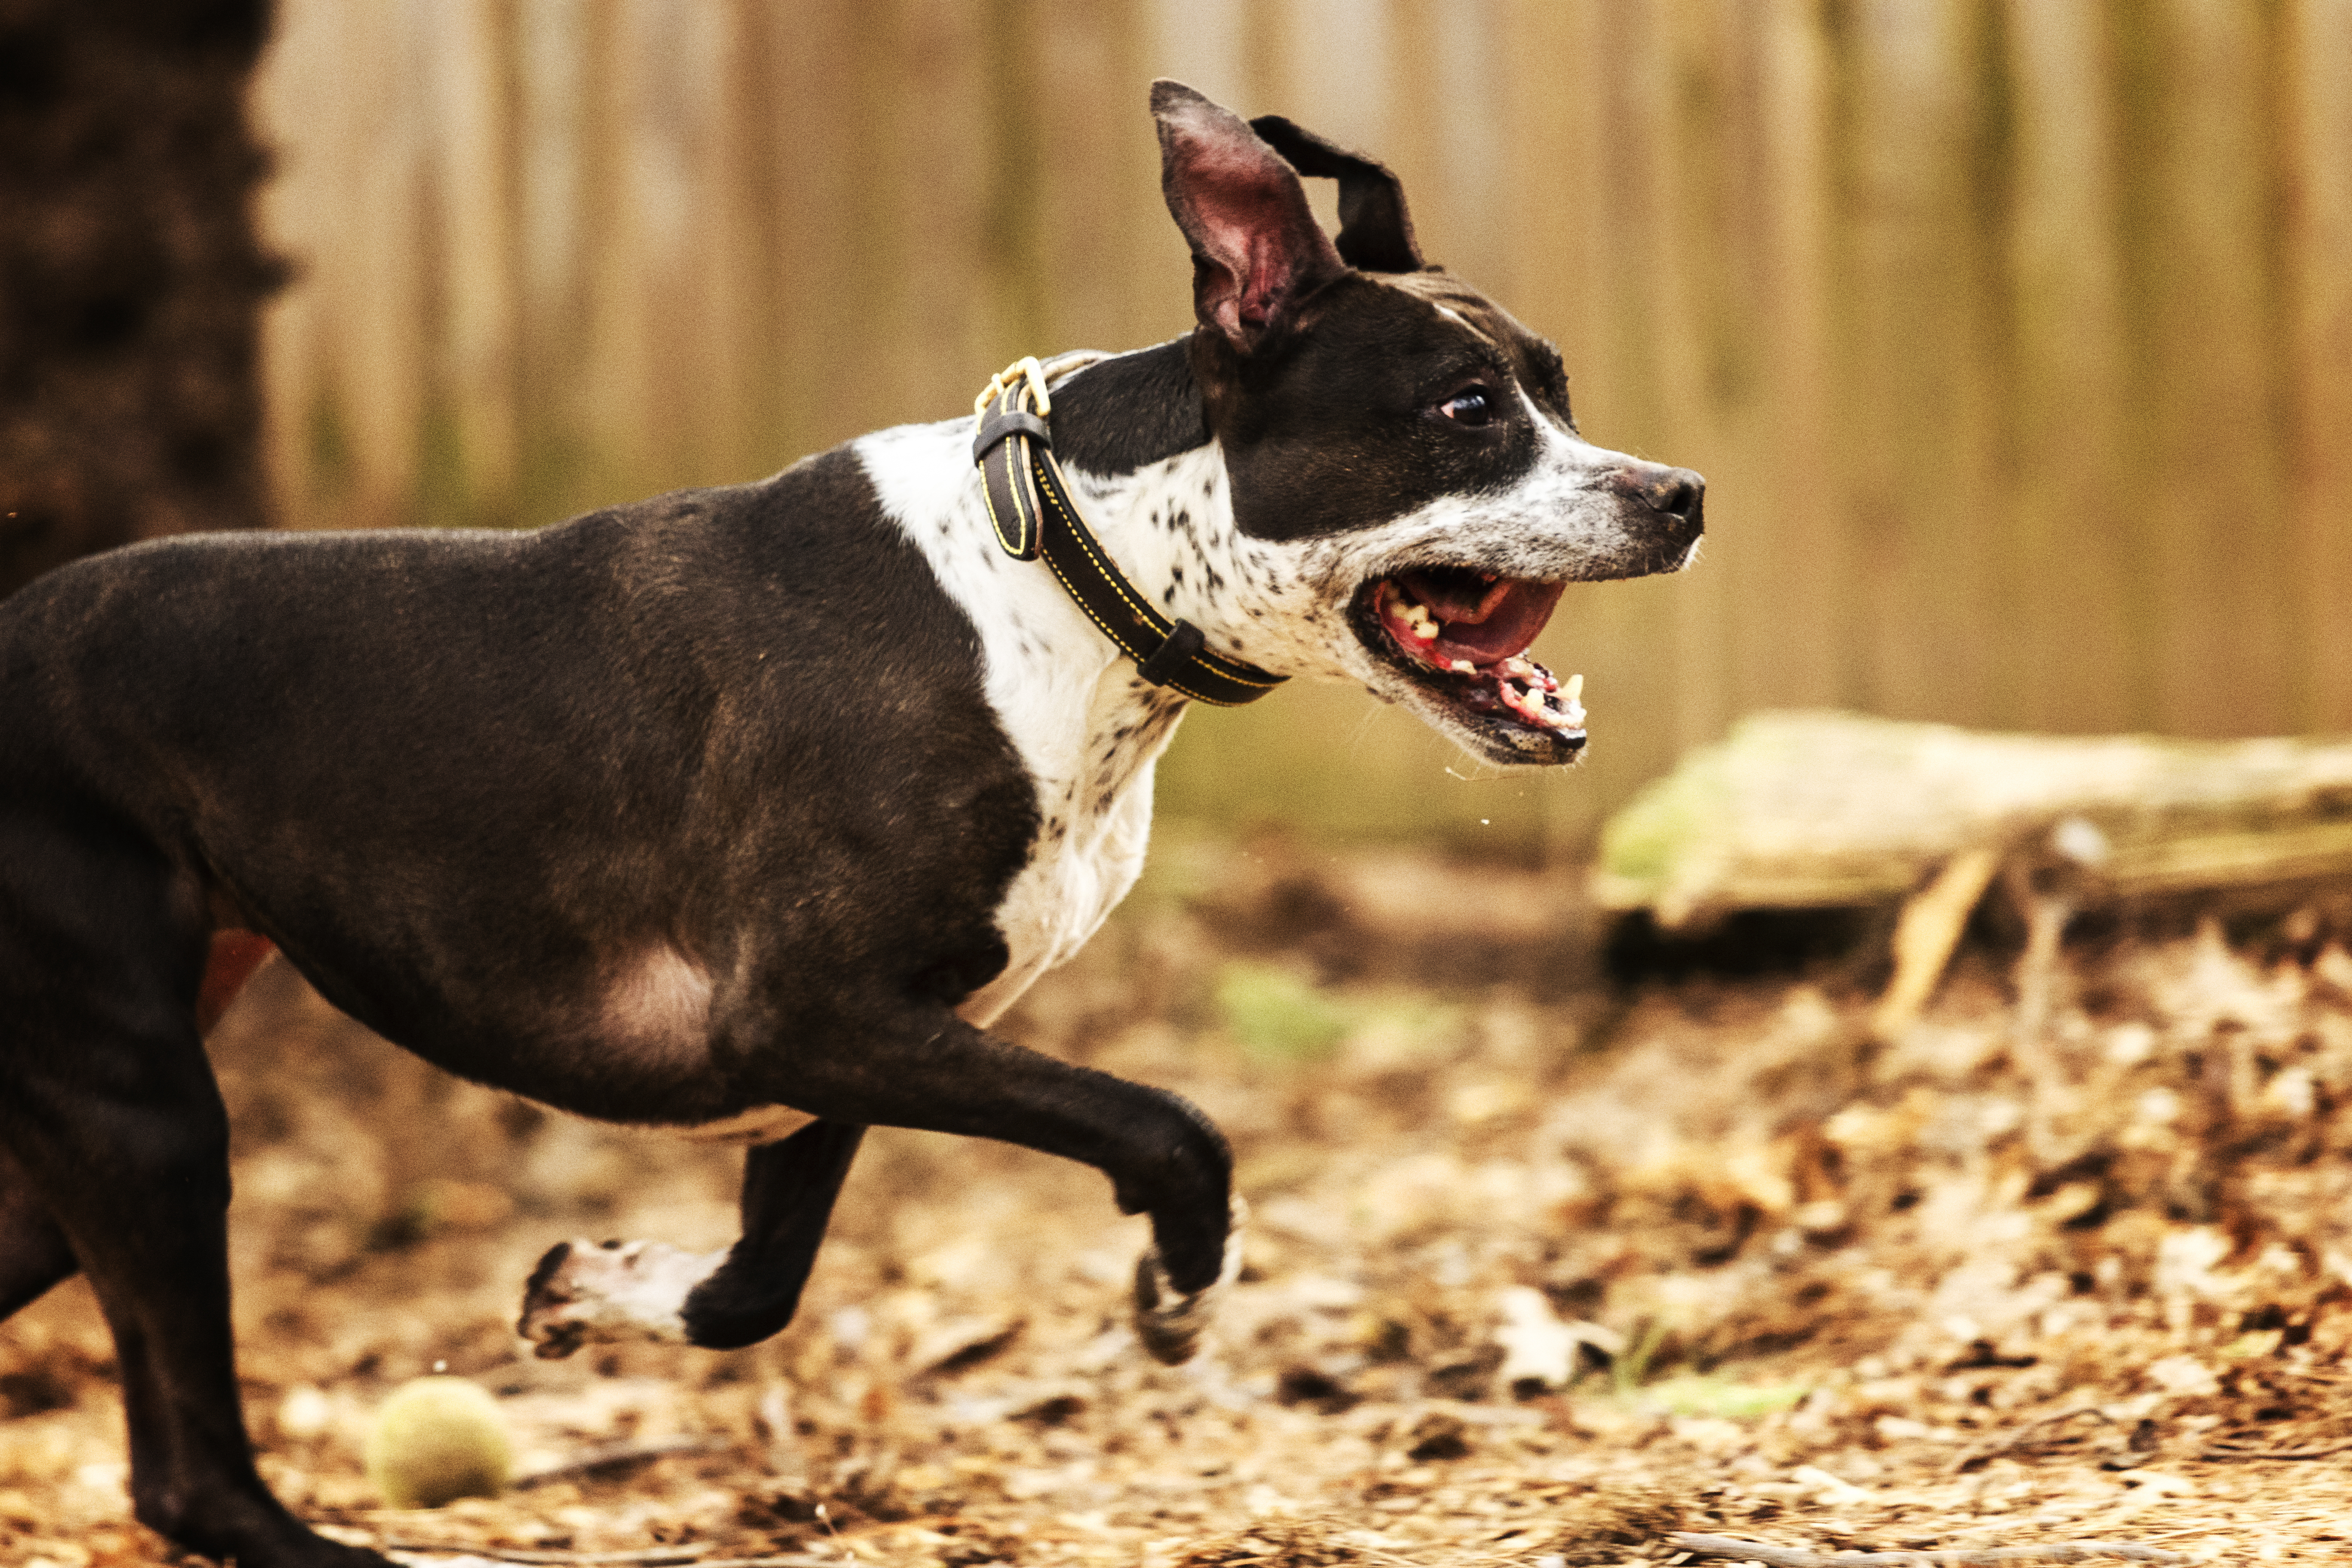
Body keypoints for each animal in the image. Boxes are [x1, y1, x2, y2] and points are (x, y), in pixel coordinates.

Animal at [0, 89, 1693, 1568]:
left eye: (1558, 388)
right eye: (1464, 410)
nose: (1677, 492)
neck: (1060, 568)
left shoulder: (833, 1059)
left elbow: (756, 1285)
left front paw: (594, 1285)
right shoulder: (811, 1016)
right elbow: (1172, 1124)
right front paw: (1178, 1290)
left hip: (76, 1146)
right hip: (149, 1111)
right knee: (191, 1475)